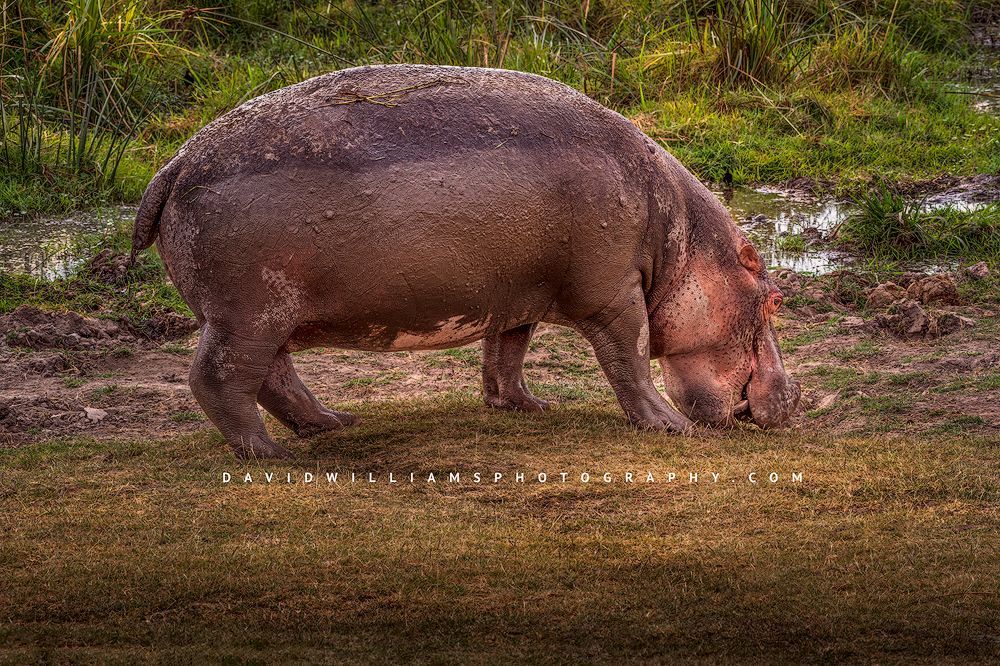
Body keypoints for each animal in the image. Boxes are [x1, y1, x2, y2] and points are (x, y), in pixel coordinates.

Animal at [131, 64, 800, 460]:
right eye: (774, 297)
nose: (795, 401)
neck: (680, 243)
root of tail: (174, 165)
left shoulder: (519, 294)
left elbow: (506, 353)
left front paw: (528, 407)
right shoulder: (614, 294)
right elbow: (630, 361)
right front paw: (670, 429)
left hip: (268, 318)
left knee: (275, 376)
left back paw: (333, 423)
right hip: (247, 313)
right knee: (219, 378)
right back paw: (271, 455)